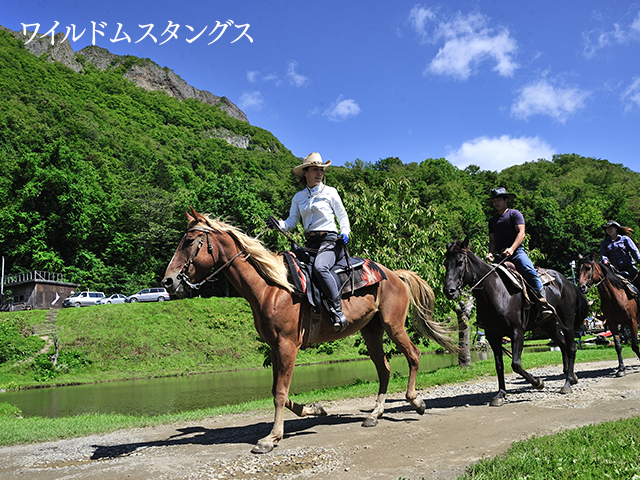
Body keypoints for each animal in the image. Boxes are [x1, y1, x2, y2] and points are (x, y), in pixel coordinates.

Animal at [162, 209, 458, 454]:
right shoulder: (275, 347)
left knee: (413, 355)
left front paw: (271, 438)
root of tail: (393, 274)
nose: (168, 281)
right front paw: (315, 408)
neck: (272, 287)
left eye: (190, 241)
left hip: (393, 325)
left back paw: (416, 402)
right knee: (384, 369)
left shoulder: (287, 345)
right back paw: (374, 414)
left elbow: (280, 393)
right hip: (371, 331)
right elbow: (277, 390)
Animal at [442, 240, 588, 404]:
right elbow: (499, 365)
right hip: (548, 325)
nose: (449, 291)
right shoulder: (492, 335)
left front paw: (538, 382)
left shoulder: (517, 331)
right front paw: (500, 394)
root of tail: (567, 283)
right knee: (562, 344)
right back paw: (572, 376)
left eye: (460, 262)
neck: (496, 292)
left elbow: (516, 364)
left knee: (571, 347)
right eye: (445, 264)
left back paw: (567, 383)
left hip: (567, 321)